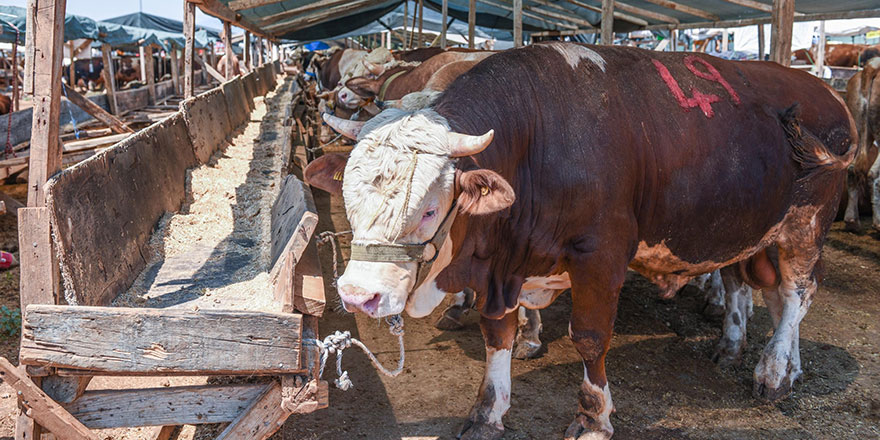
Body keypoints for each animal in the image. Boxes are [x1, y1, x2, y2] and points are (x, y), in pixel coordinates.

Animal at [304, 42, 852, 440]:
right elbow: (496, 333)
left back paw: (774, 372)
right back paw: (750, 351)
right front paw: (488, 412)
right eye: (349, 198)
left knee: (797, 291)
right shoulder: (507, 266)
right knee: (762, 291)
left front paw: (593, 419)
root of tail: (823, 90)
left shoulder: (600, 255)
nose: (358, 296)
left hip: (805, 226)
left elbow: (589, 337)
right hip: (745, 229)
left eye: (430, 209)